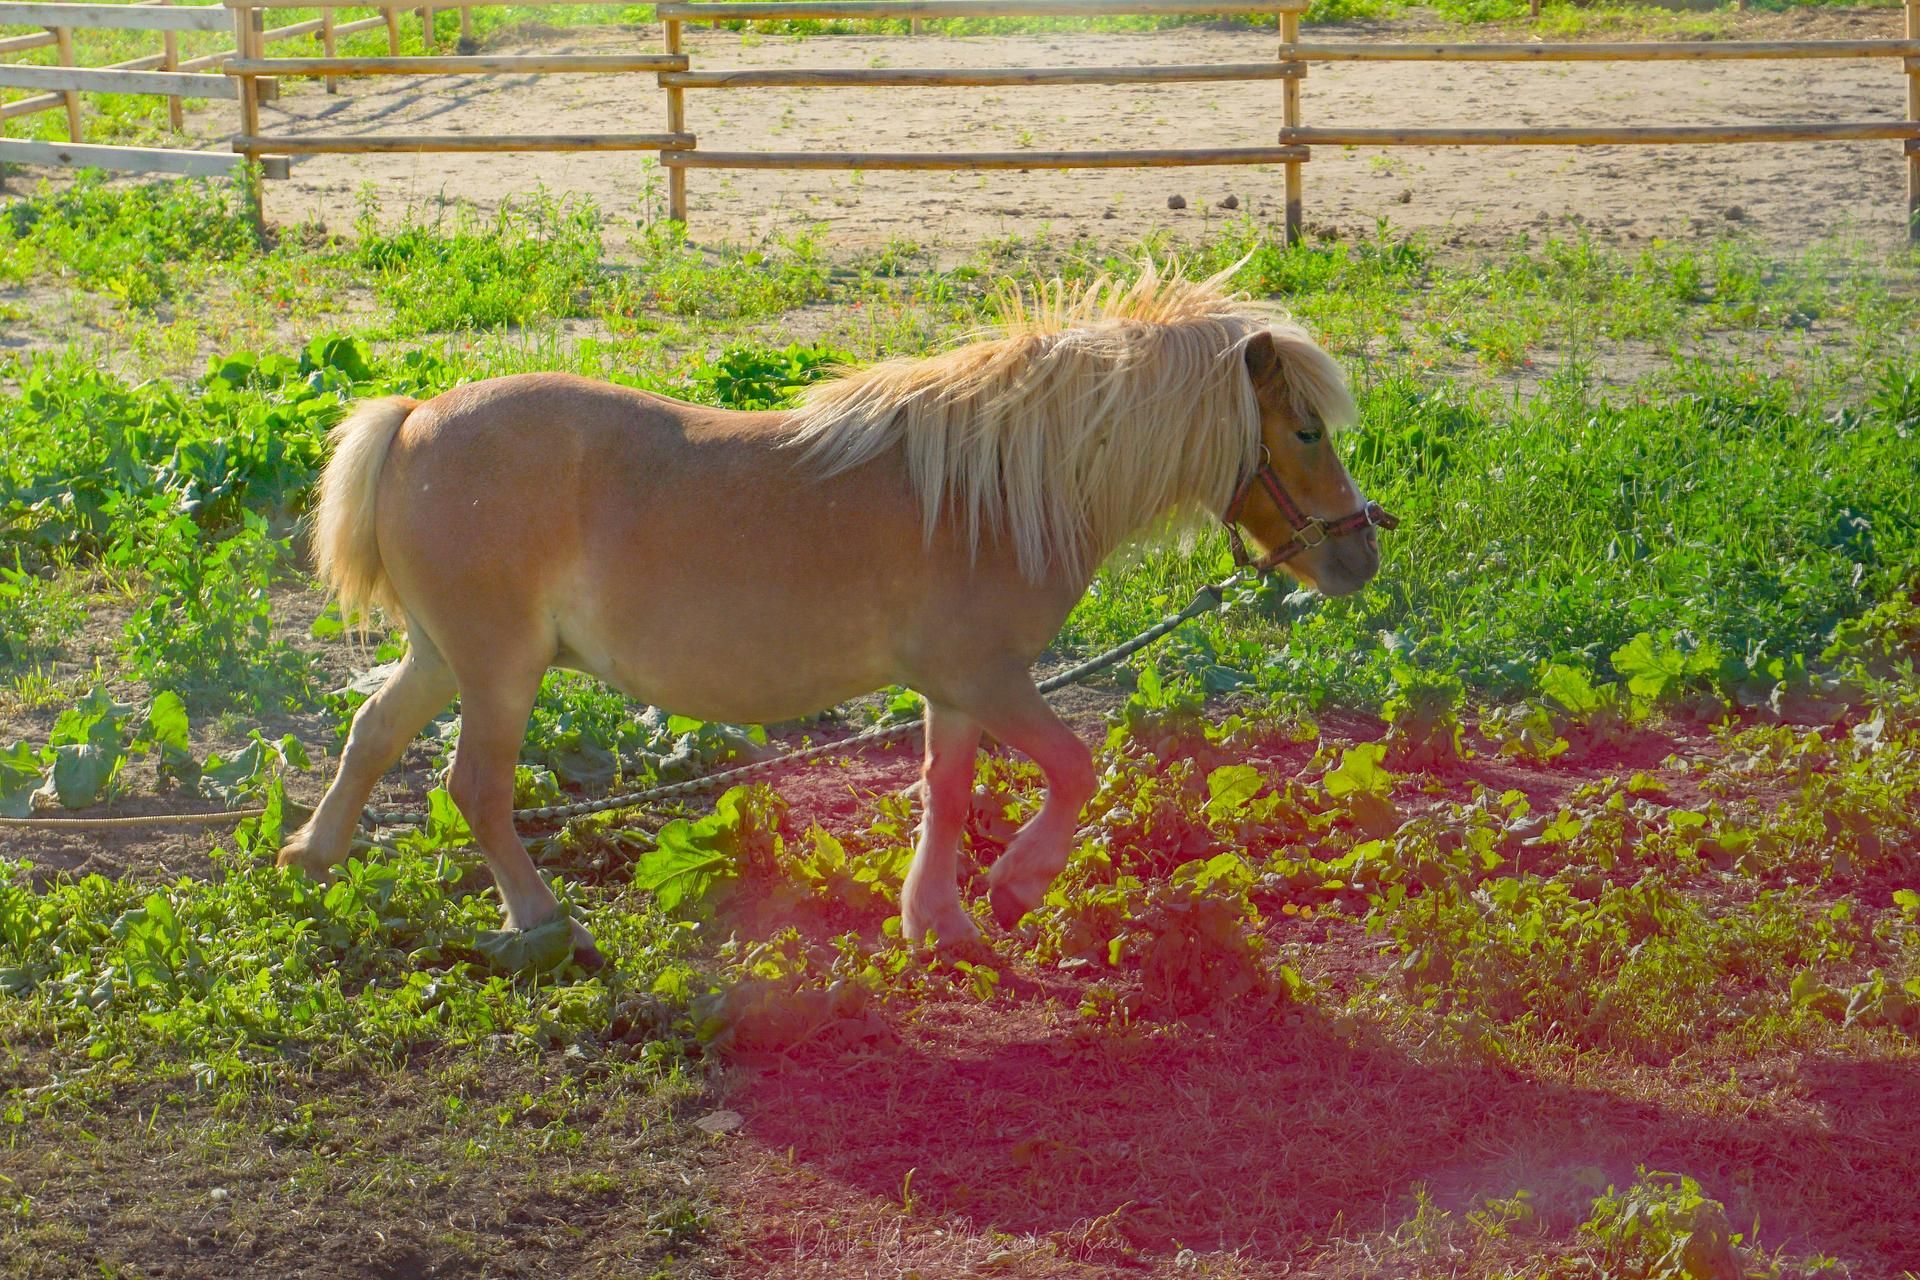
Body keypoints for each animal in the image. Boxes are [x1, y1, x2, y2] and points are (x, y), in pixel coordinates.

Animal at [280, 260, 1397, 967]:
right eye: (1305, 429)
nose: (1361, 552)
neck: (1001, 489)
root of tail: (415, 415)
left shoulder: (956, 690)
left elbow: (946, 792)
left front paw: (939, 922)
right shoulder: (992, 677)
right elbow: (1074, 770)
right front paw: (1015, 888)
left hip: (441, 656)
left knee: (372, 733)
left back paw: (312, 858)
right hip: (499, 670)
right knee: (475, 789)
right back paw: (548, 923)